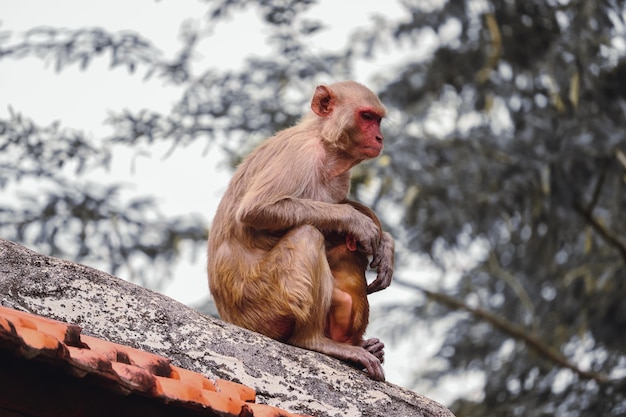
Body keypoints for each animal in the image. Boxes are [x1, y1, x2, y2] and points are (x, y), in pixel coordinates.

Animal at [207, 80, 392, 380]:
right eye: (366, 117)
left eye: (378, 120)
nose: (379, 138)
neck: (324, 143)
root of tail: (231, 318)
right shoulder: (301, 154)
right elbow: (256, 210)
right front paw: (357, 221)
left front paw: (386, 244)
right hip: (263, 305)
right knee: (307, 235)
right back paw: (315, 340)